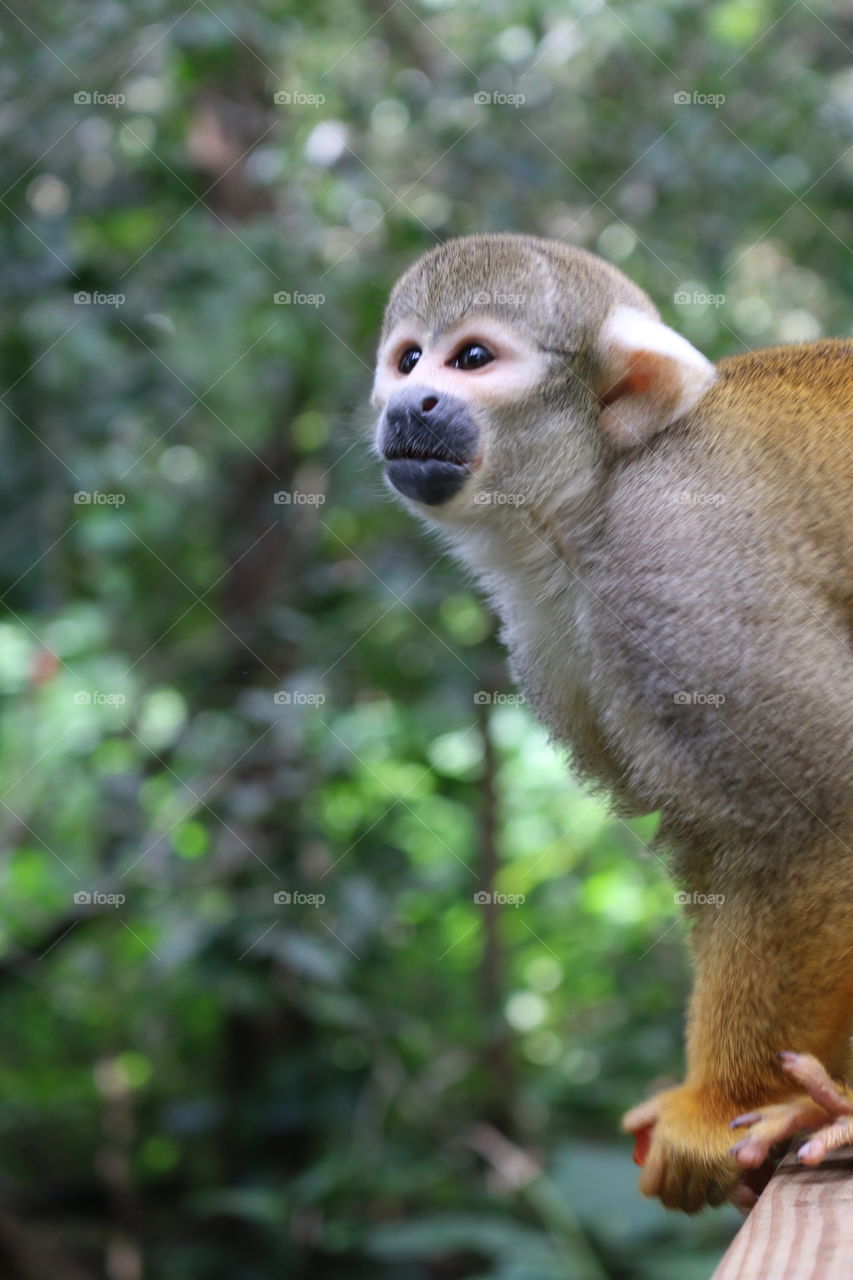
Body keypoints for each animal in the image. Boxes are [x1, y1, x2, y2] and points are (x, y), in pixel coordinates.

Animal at [370, 233, 853, 1213]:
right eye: (406, 360)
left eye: (469, 359)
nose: (410, 400)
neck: (593, 497)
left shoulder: (683, 572)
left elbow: (813, 819)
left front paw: (718, 1110)